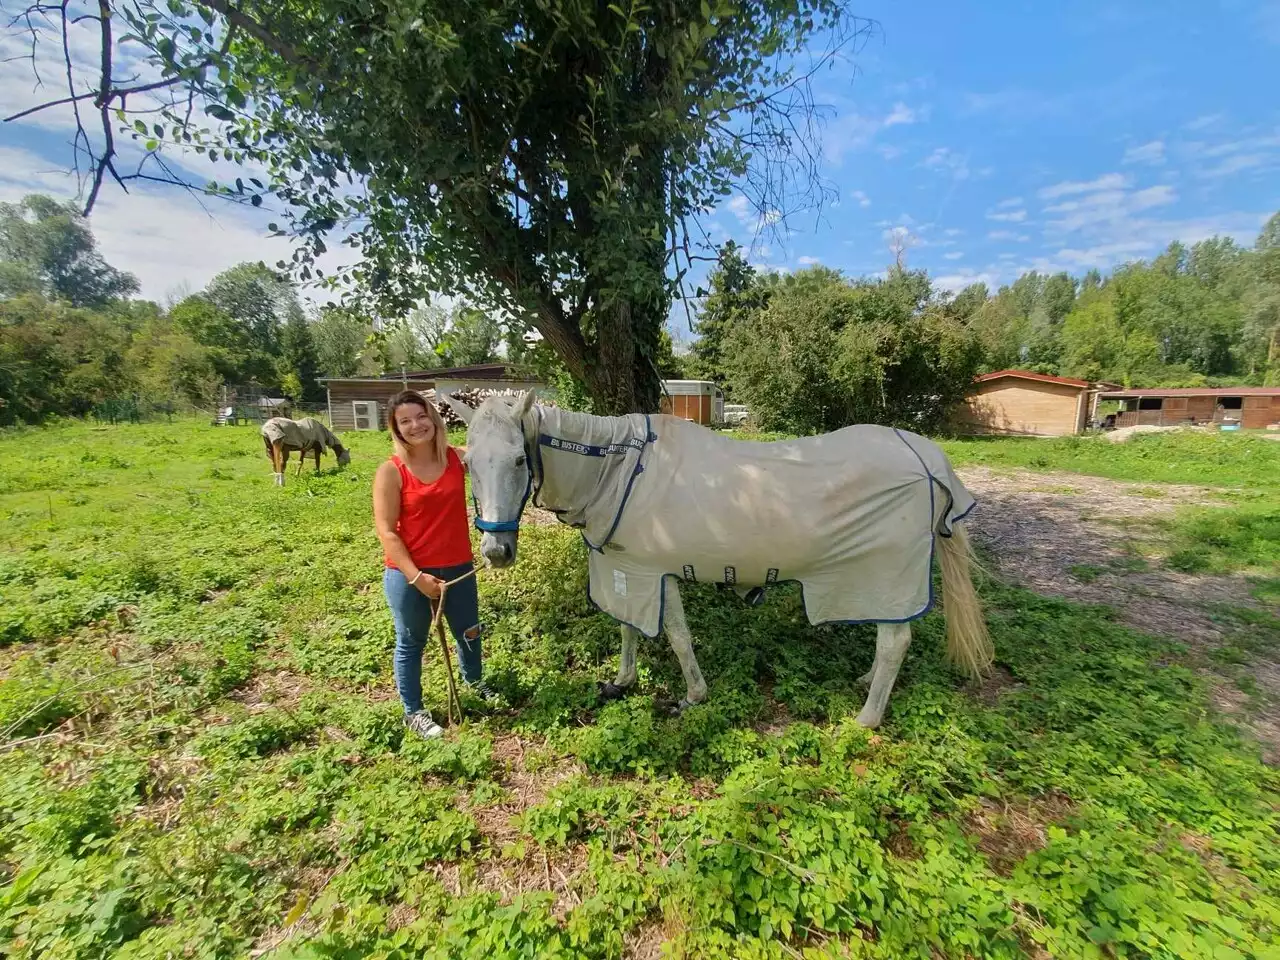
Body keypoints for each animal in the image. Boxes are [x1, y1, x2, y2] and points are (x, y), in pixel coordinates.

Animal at [445, 391, 993, 727]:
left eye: (520, 459)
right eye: (468, 463)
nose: (495, 552)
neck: (620, 473)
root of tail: (926, 455)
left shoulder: (655, 573)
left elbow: (677, 636)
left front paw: (692, 696)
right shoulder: (628, 569)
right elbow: (627, 628)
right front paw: (621, 682)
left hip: (886, 574)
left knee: (894, 642)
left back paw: (866, 718)